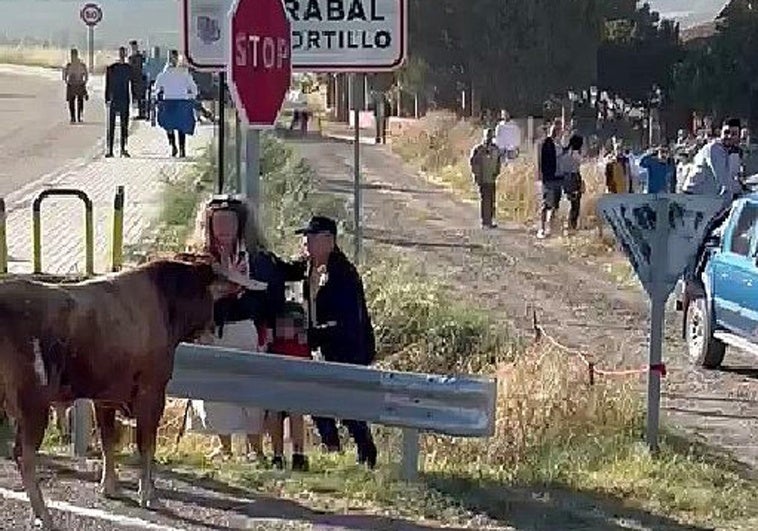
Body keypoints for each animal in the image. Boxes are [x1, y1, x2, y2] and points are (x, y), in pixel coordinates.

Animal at [0, 256, 249, 528]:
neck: (165, 302)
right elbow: (146, 445)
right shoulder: (152, 392)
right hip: (33, 406)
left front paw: (110, 486)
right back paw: (43, 515)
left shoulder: (105, 397)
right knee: (24, 456)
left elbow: (108, 441)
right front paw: (148, 495)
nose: (212, 331)